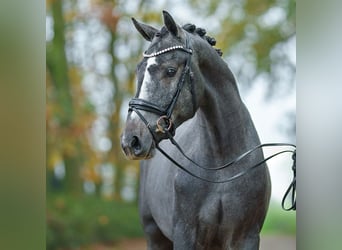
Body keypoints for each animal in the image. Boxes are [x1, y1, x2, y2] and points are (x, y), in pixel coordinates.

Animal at [121, 10, 272, 250]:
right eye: (139, 71)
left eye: (170, 71)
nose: (131, 141)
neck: (222, 167)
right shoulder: (185, 235)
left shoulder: (247, 238)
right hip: (155, 236)